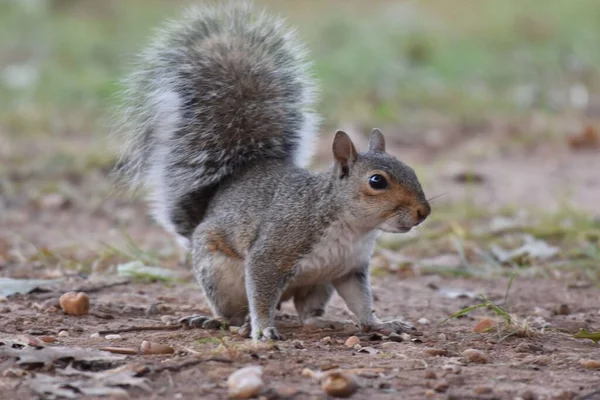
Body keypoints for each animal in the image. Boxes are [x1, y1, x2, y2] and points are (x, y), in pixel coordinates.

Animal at [112, 2, 432, 340]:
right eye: (376, 181)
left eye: (410, 169)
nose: (423, 212)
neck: (352, 227)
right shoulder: (274, 249)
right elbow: (262, 292)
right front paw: (264, 329)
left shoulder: (349, 269)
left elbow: (361, 302)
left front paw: (381, 323)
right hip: (220, 273)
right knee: (236, 311)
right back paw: (222, 321)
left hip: (318, 284)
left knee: (307, 314)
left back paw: (326, 322)